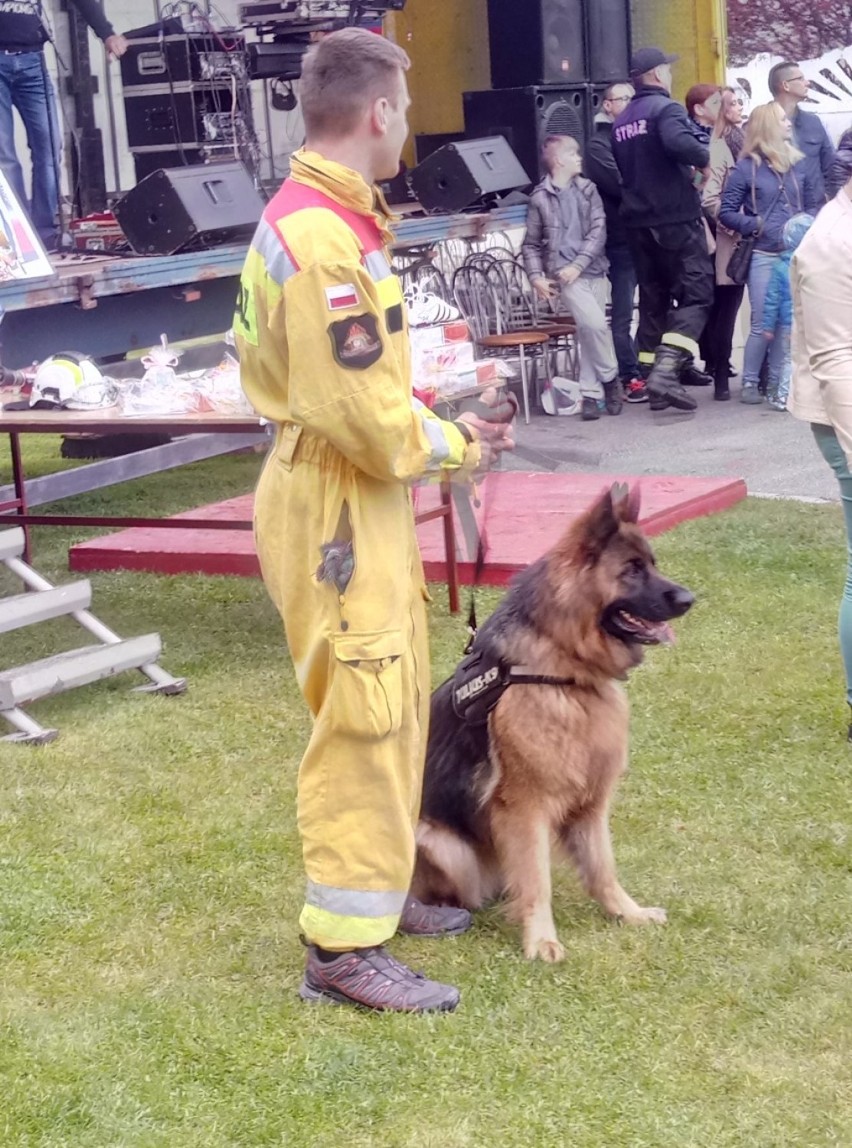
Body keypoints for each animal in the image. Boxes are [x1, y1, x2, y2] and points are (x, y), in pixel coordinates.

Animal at [417, 484, 698, 959]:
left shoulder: (591, 802)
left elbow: (603, 868)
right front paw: (541, 939)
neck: (565, 669)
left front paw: (628, 913)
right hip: (442, 845)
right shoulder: (524, 808)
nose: (689, 599)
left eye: (653, 564)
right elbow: (537, 880)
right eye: (632, 570)